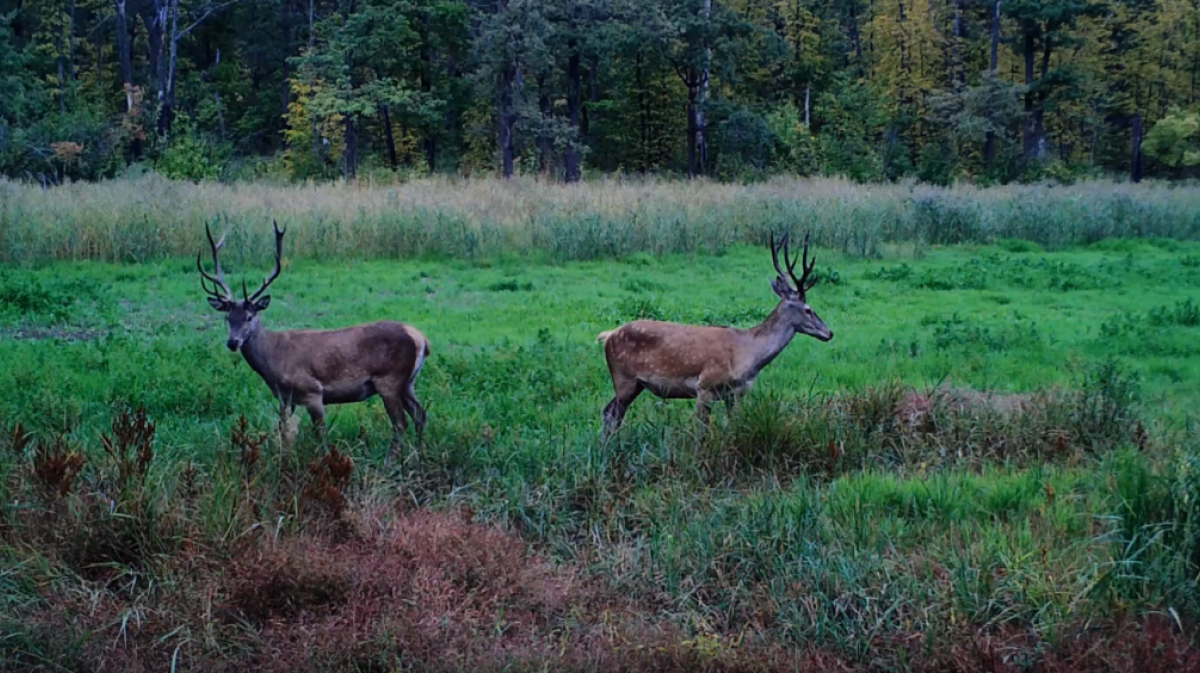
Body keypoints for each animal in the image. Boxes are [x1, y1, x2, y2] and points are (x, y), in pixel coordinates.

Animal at [201, 220, 432, 451]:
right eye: (228, 318)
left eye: (249, 317)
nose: (232, 342)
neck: (275, 360)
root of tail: (421, 338)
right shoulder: (285, 398)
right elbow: (283, 432)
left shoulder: (312, 391)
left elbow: (320, 434)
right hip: (407, 382)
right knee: (420, 414)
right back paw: (418, 454)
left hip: (389, 379)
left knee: (400, 423)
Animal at [595, 233, 830, 439]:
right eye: (808, 309)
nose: (829, 332)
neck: (746, 355)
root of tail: (608, 335)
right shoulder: (705, 385)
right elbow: (702, 432)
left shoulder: (735, 394)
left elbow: (734, 427)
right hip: (623, 377)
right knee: (610, 413)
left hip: (635, 384)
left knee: (610, 413)